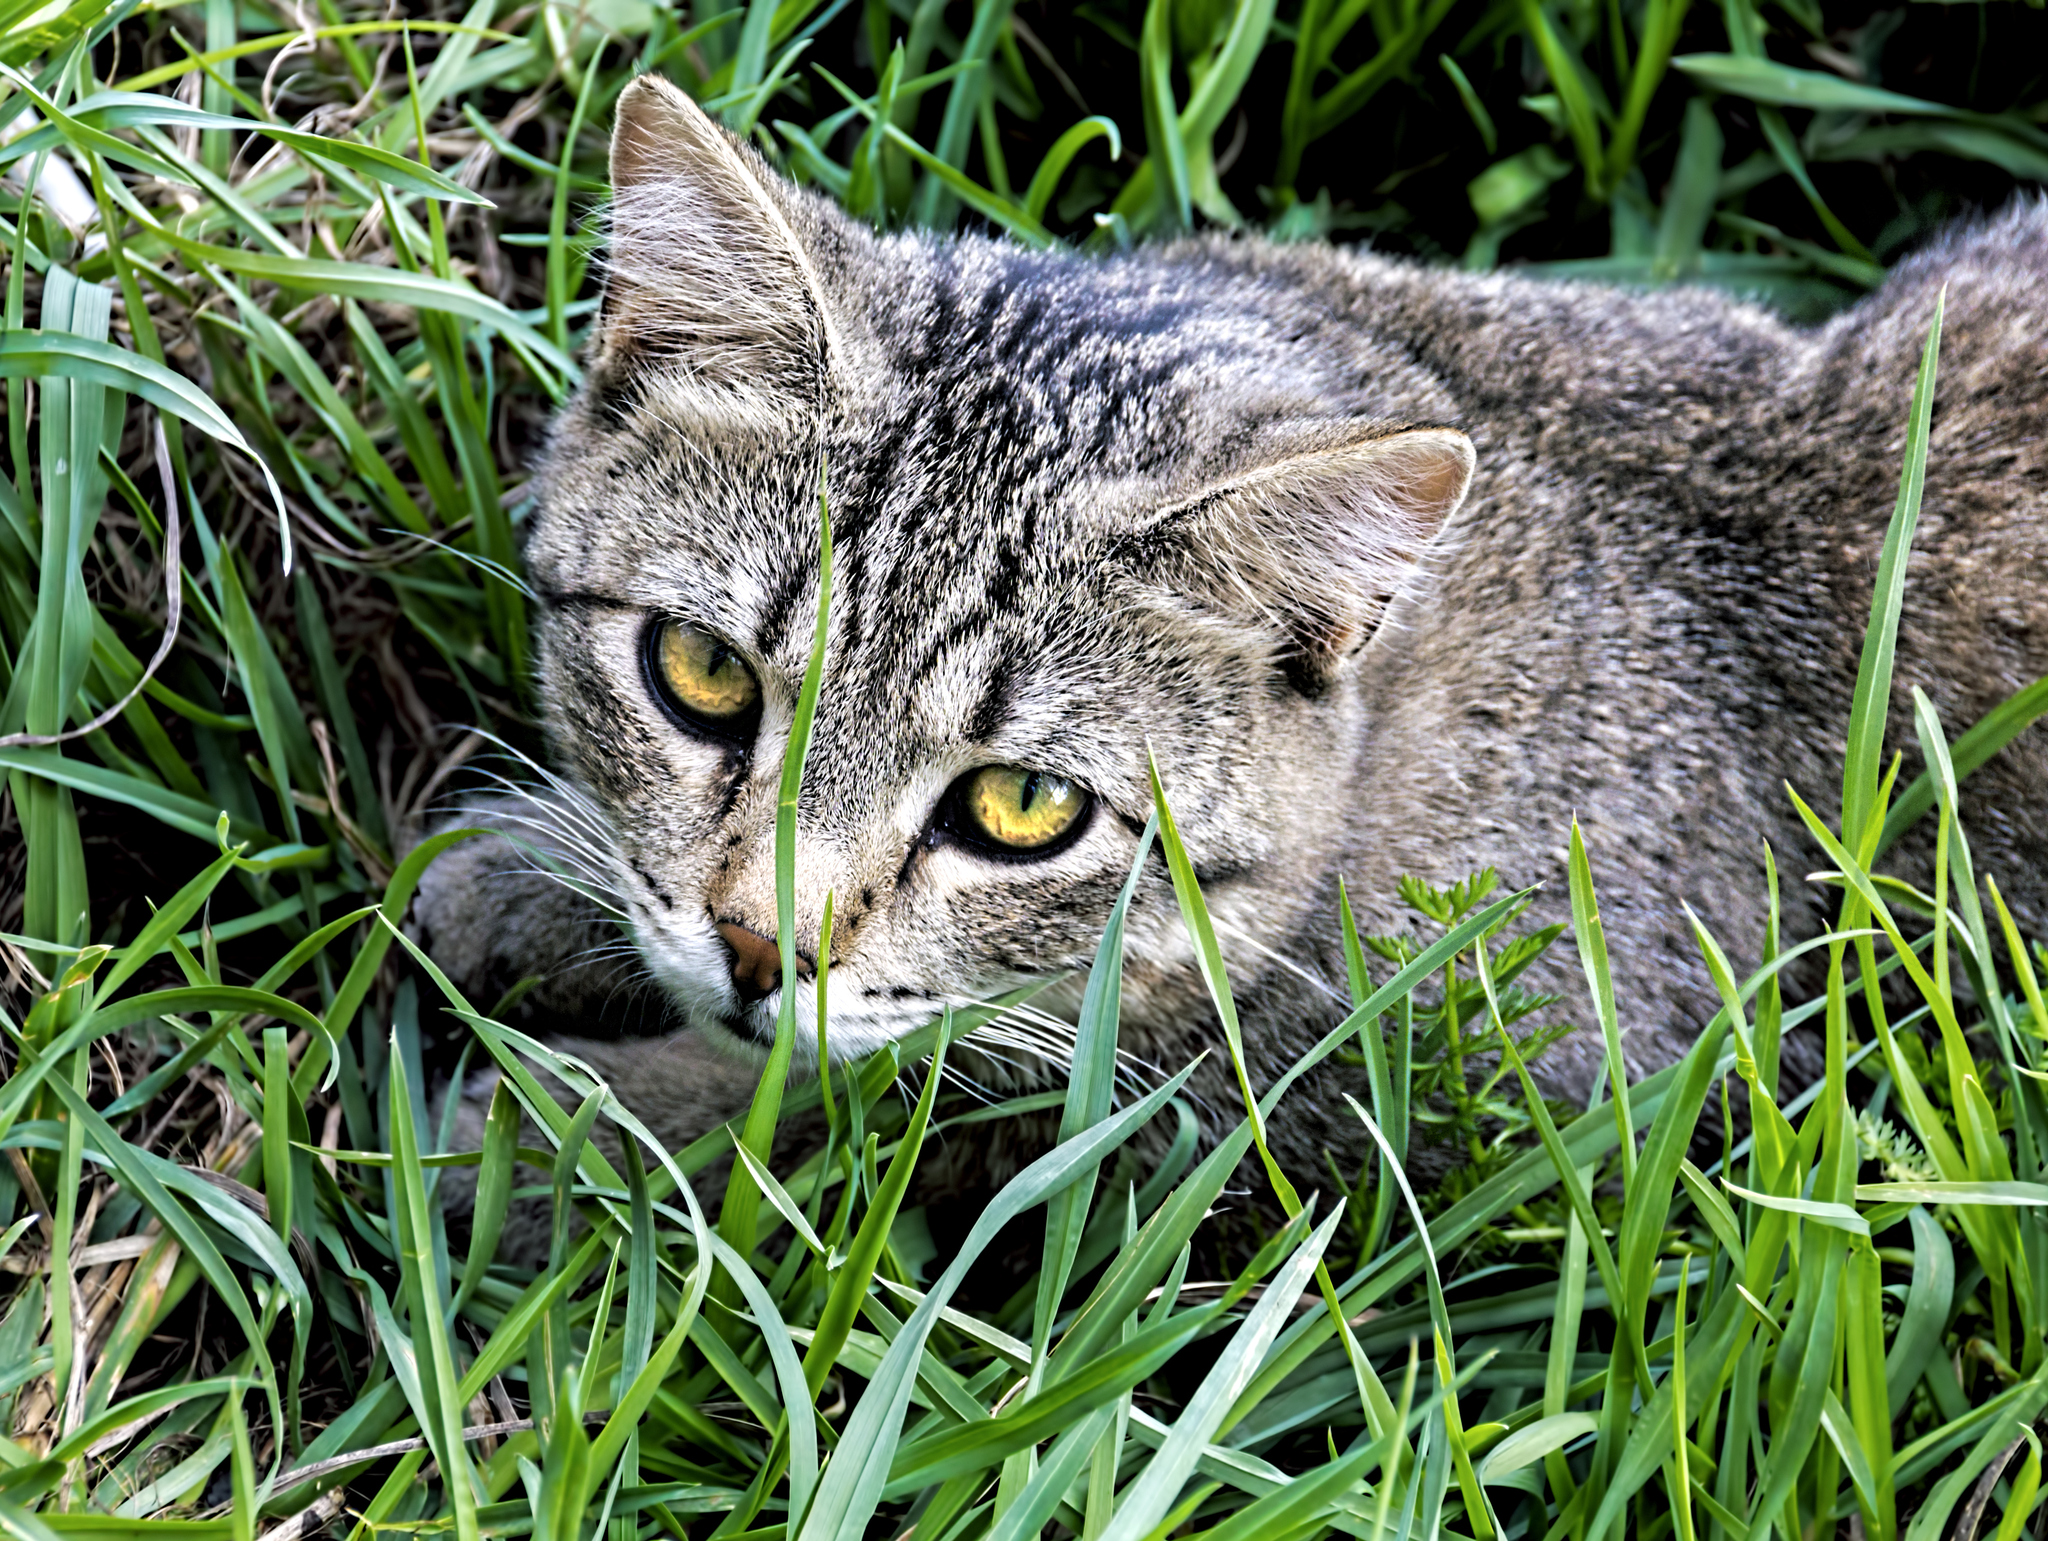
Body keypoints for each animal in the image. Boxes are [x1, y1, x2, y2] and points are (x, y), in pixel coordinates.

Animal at [411, 69, 2048, 1204]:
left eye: (1022, 808)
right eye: (702, 676)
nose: (761, 944)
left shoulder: (1551, 1096)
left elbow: (926, 1109)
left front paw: (564, 1145)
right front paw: (533, 875)